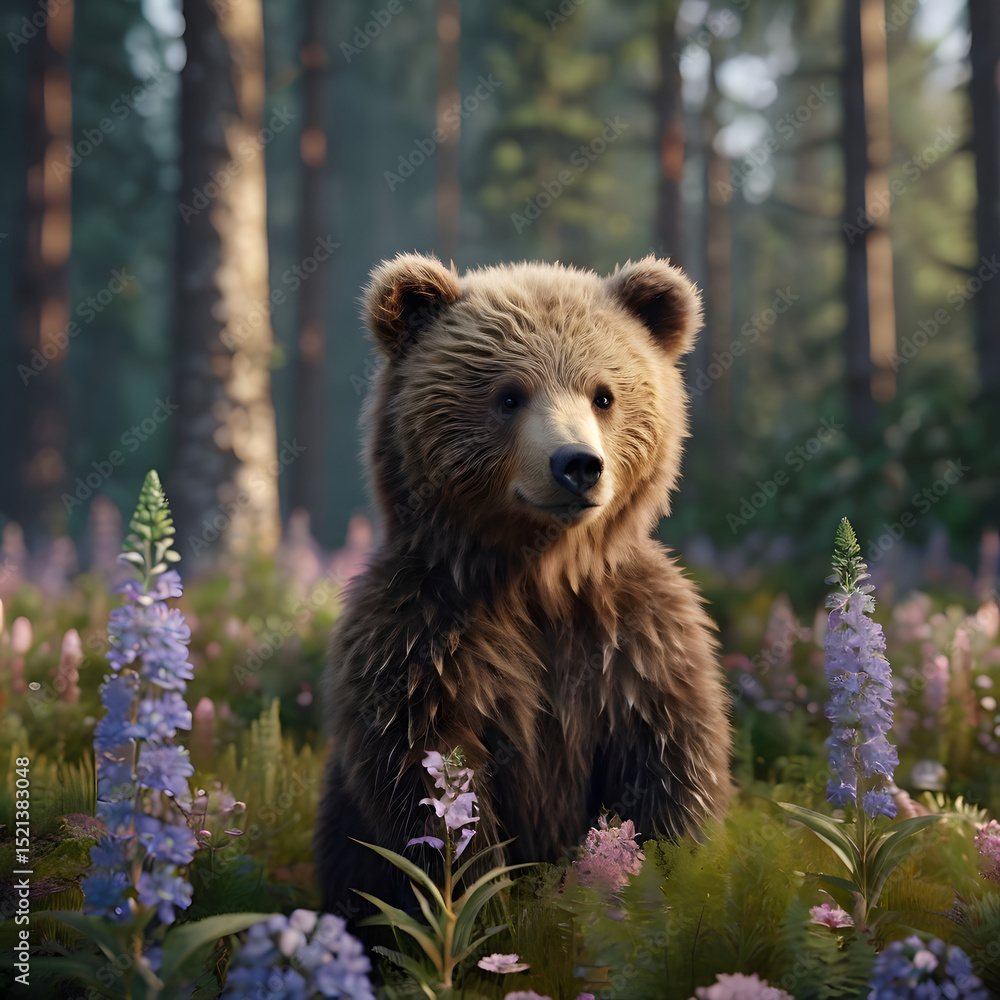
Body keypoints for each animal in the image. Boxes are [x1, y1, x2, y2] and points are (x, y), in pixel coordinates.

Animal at [315, 253, 732, 918]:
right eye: (509, 395)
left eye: (604, 394)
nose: (578, 464)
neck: (538, 578)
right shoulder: (420, 645)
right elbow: (434, 790)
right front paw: (484, 905)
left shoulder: (638, 648)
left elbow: (672, 775)